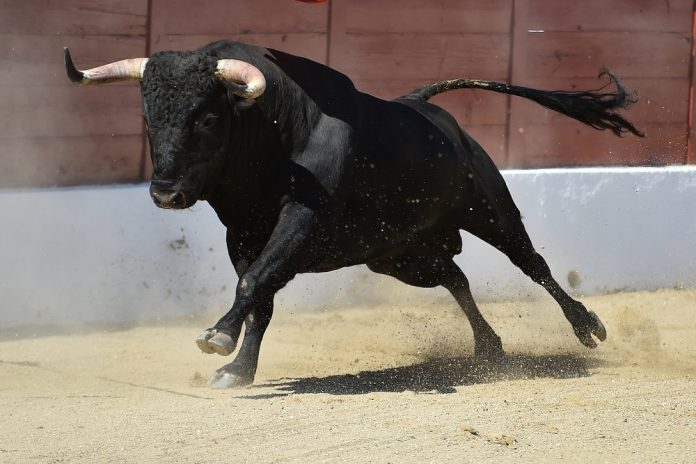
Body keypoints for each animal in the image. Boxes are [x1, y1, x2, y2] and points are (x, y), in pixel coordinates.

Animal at [64, 40, 643, 388]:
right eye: (148, 118)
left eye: (206, 117)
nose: (163, 193)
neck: (275, 136)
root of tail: (425, 104)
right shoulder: (242, 236)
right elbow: (259, 298)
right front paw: (240, 370)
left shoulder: (300, 222)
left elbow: (254, 284)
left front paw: (218, 338)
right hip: (400, 256)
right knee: (455, 277)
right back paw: (488, 347)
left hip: (489, 210)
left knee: (533, 264)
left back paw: (586, 326)